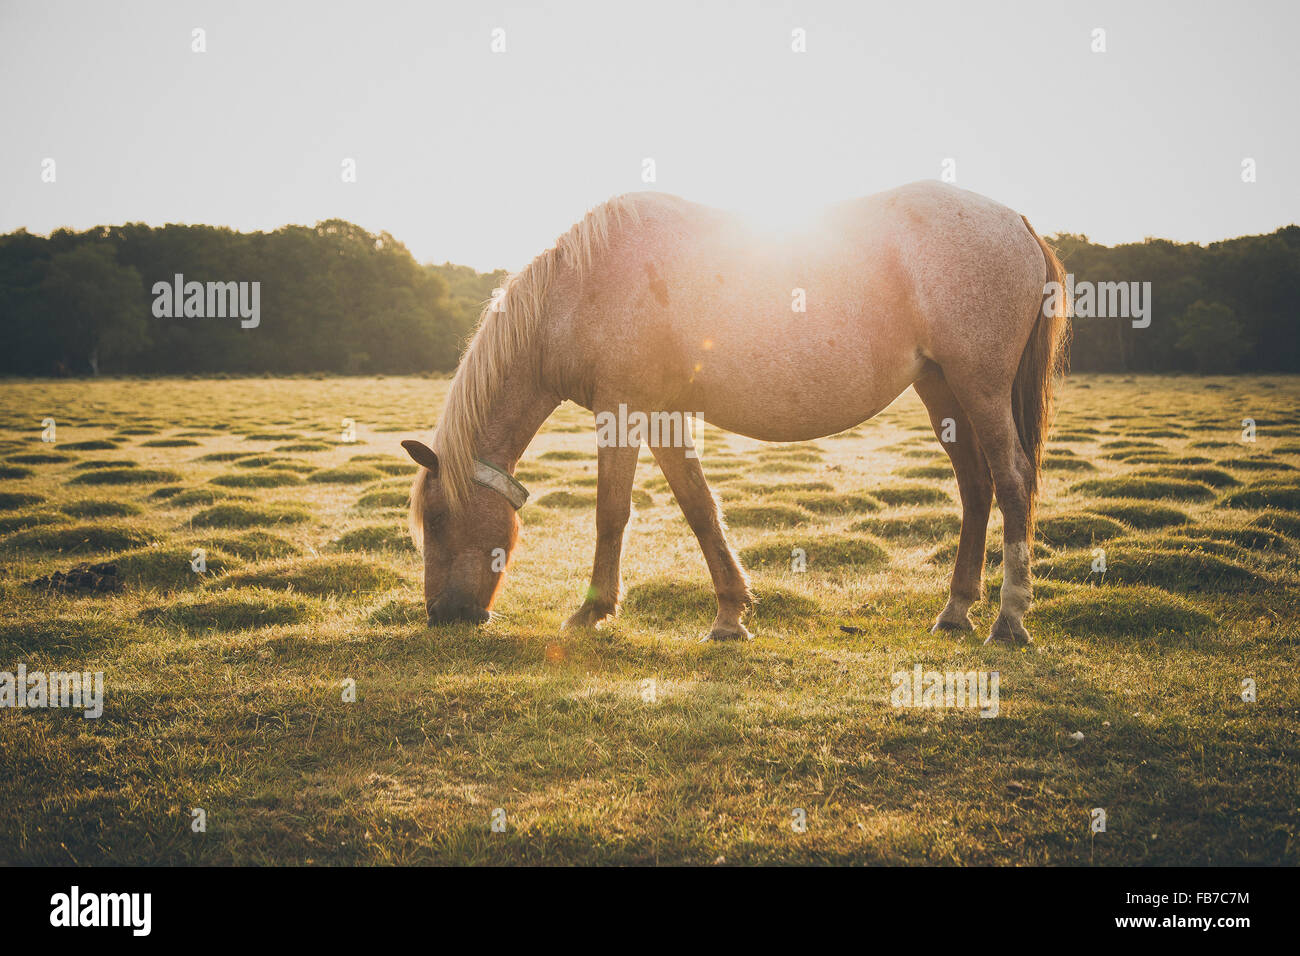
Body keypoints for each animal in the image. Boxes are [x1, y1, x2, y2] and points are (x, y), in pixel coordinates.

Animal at [401, 181, 1069, 644]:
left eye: (437, 518)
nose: (443, 616)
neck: (581, 290)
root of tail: (1015, 221)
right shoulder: (663, 416)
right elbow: (699, 508)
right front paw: (730, 614)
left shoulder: (622, 410)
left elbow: (612, 512)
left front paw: (592, 611)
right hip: (942, 391)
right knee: (977, 487)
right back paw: (955, 610)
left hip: (980, 388)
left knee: (1012, 483)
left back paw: (1008, 620)